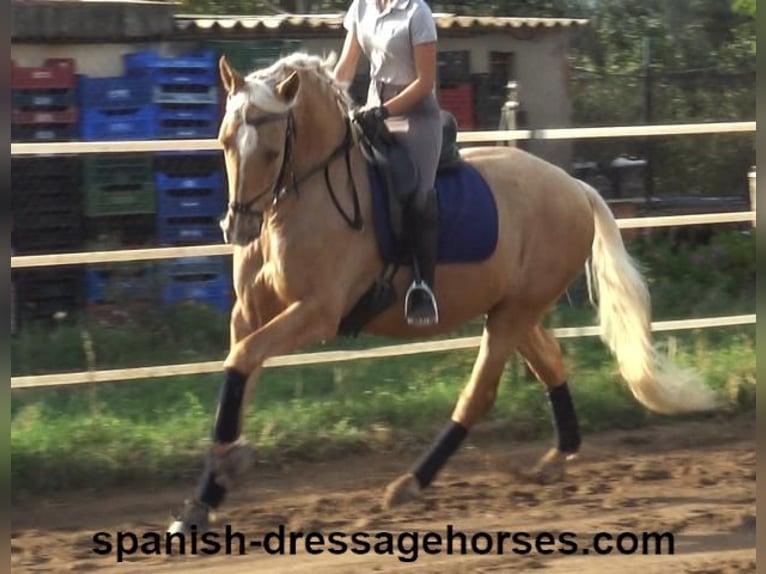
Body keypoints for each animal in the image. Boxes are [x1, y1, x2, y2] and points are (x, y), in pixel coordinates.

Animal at [165, 53, 724, 536]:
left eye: (271, 149)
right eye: (224, 140)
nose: (239, 227)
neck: (303, 200)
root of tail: (575, 188)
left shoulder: (317, 313)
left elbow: (242, 361)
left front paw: (228, 465)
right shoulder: (250, 312)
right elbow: (239, 373)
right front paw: (202, 500)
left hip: (512, 315)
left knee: (480, 394)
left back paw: (411, 483)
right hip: (511, 310)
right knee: (550, 362)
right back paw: (557, 458)